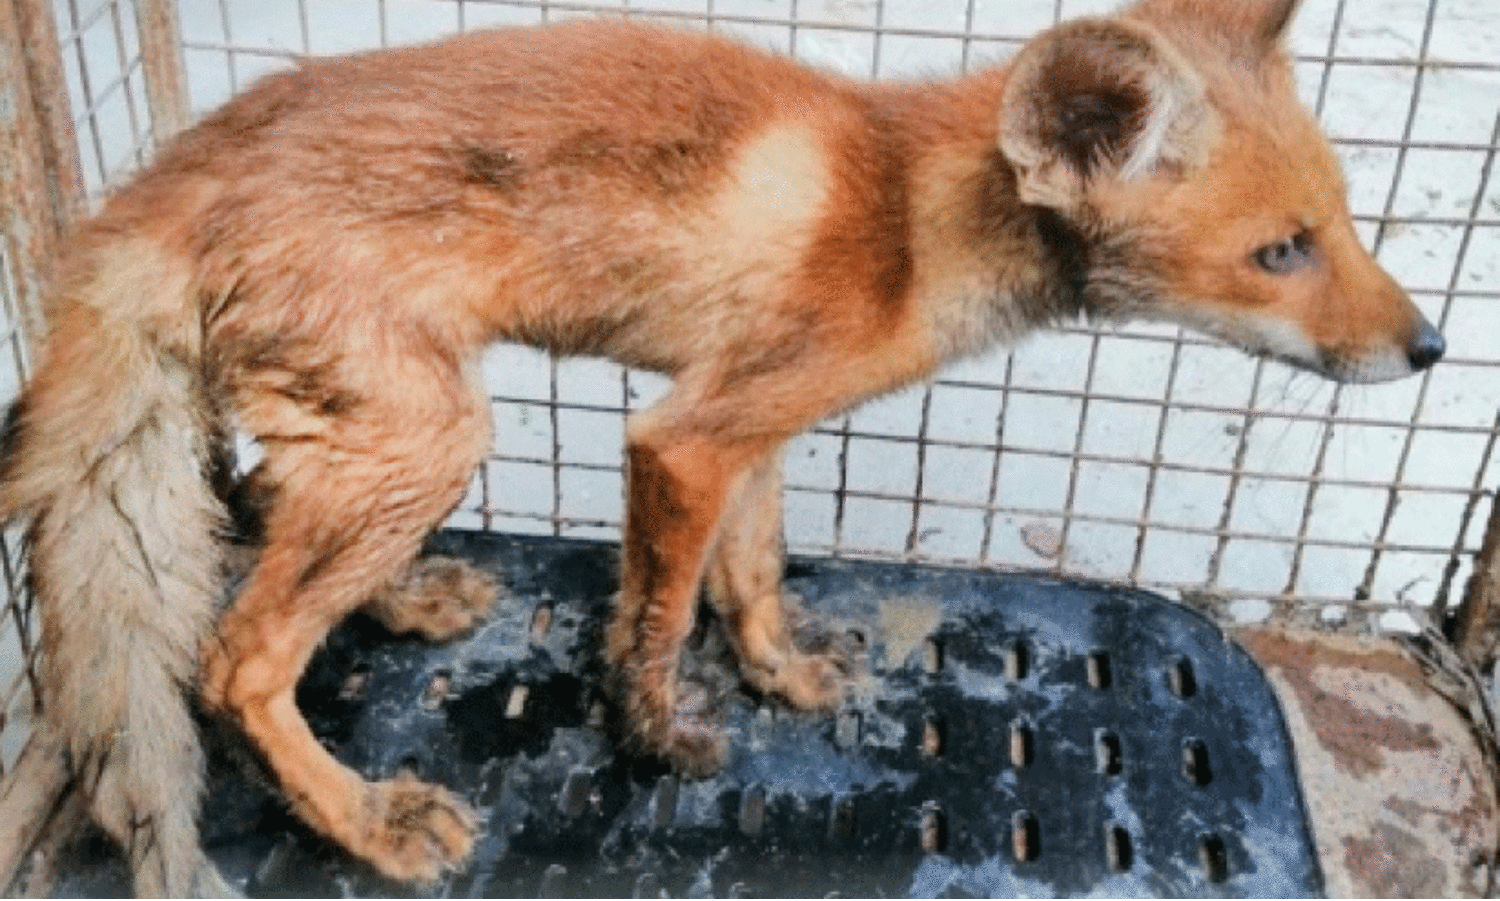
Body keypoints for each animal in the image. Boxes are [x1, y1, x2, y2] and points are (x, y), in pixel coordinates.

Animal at [0, 0, 1444, 894]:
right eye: (1280, 252)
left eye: (1344, 222)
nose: (1431, 348)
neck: (908, 225)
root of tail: (163, 173)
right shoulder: (686, 437)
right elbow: (656, 613)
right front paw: (658, 735)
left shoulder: (754, 421)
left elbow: (749, 579)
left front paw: (783, 678)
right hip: (433, 434)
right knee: (236, 660)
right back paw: (363, 816)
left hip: (374, 434)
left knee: (251, 500)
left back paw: (403, 599)